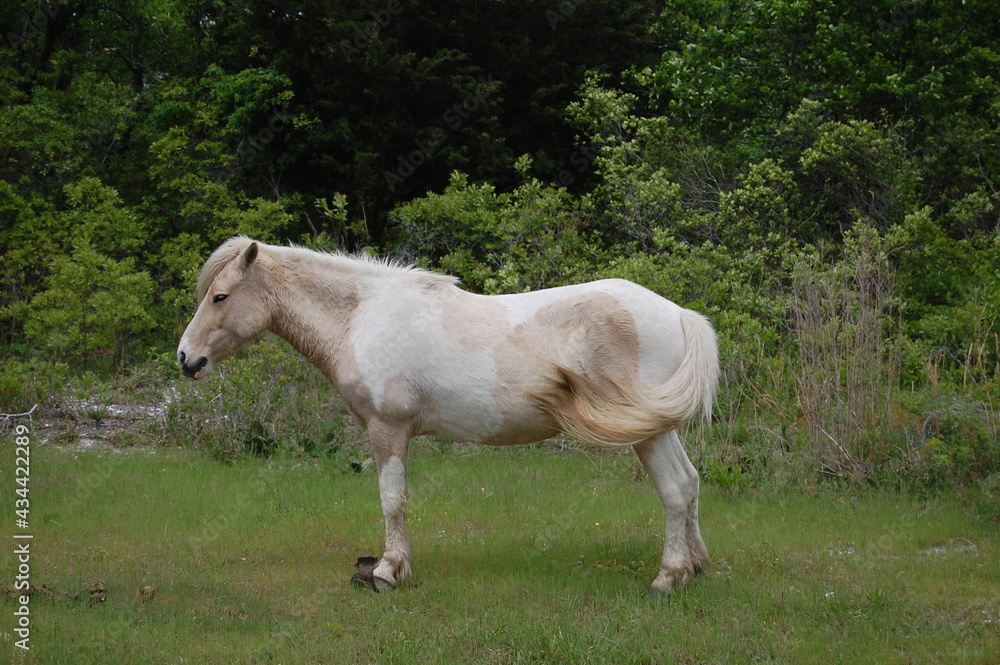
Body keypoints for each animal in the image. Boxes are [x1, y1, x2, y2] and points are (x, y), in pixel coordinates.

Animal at [177, 236, 720, 595]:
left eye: (220, 296)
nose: (186, 358)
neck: (359, 317)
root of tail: (679, 315)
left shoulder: (388, 429)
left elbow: (392, 499)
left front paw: (387, 571)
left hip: (648, 435)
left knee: (675, 490)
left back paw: (667, 577)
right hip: (659, 429)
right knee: (690, 483)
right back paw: (695, 566)